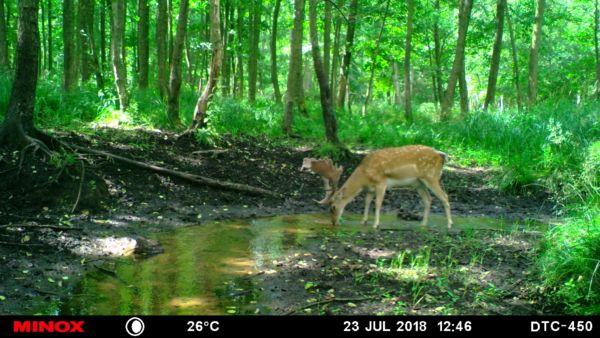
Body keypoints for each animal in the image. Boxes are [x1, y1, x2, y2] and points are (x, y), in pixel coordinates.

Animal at [318, 145, 454, 230]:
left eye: (333, 207)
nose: (334, 223)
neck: (364, 176)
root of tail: (442, 156)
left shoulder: (381, 182)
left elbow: (378, 203)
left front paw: (376, 225)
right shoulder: (370, 188)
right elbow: (366, 202)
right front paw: (364, 221)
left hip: (431, 177)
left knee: (445, 196)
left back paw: (449, 225)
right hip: (418, 183)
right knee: (428, 199)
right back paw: (423, 224)